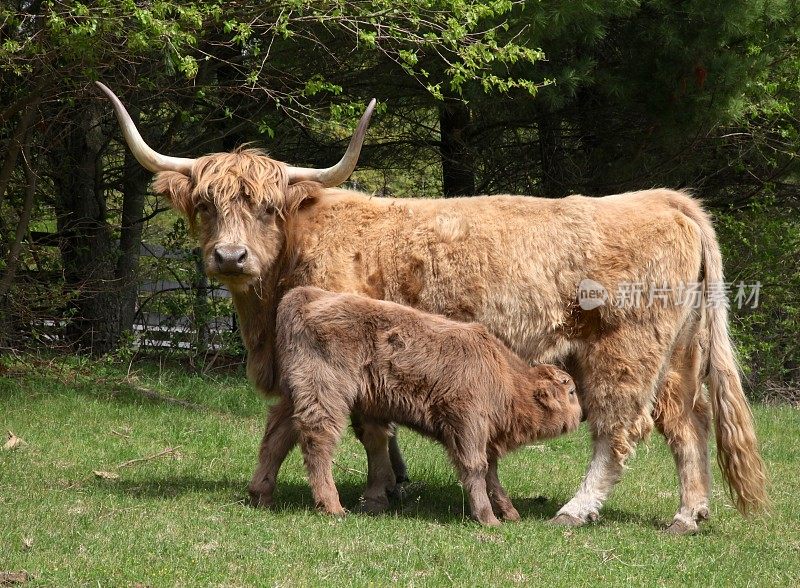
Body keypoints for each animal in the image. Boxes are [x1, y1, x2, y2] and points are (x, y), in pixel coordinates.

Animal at [276, 288, 580, 524]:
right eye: (572, 391)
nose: (584, 414)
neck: (504, 376)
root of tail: (306, 295)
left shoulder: (486, 438)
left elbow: (492, 476)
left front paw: (510, 513)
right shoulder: (468, 425)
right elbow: (475, 469)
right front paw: (488, 519)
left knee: (277, 437)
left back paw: (266, 495)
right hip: (326, 396)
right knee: (318, 442)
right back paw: (332, 506)